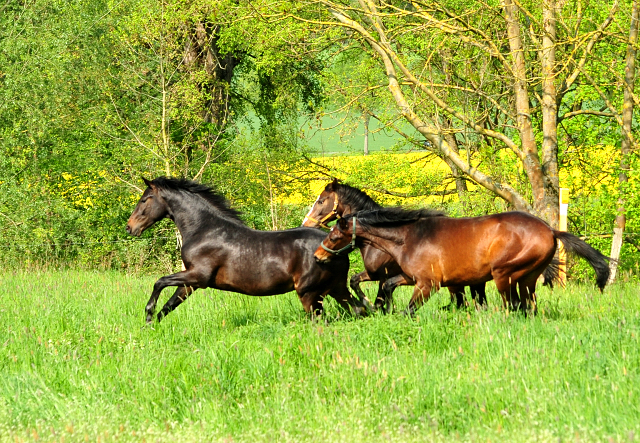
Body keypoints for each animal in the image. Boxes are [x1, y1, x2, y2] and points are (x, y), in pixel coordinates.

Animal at [125, 179, 368, 324]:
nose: (130, 227)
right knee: (358, 310)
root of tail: (339, 247)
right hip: (335, 288)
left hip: (309, 293)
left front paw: (147, 313)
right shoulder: (191, 282)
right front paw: (150, 325)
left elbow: (159, 282)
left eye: (144, 200)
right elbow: (169, 305)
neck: (204, 229)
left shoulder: (198, 276)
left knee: (321, 320)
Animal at [316, 209, 608, 316]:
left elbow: (409, 309)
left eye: (334, 235)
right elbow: (388, 285)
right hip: (527, 279)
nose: (318, 256)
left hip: (504, 274)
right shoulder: (411, 278)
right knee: (527, 306)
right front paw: (379, 307)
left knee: (513, 306)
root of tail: (550, 231)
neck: (410, 237)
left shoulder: (428, 284)